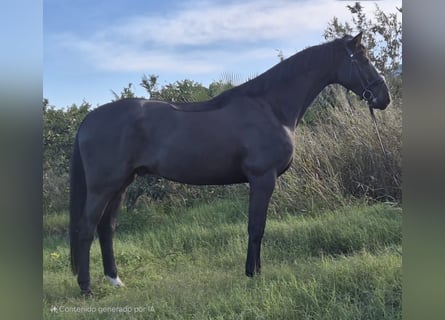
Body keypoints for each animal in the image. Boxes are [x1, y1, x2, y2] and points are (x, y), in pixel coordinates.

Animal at [69, 33, 388, 296]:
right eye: (363, 58)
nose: (384, 97)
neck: (270, 107)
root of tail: (89, 119)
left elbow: (259, 227)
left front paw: (255, 270)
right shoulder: (262, 178)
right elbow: (256, 227)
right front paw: (252, 274)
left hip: (121, 184)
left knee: (106, 229)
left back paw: (115, 280)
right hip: (103, 187)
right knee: (86, 229)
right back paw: (86, 288)